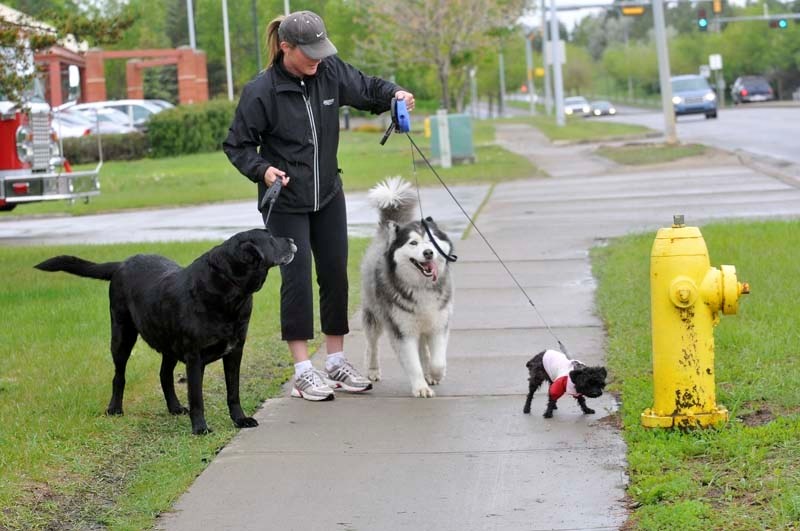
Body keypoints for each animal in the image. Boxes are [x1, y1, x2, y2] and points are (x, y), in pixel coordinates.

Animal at [362, 179, 456, 400]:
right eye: (413, 243)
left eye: (430, 240)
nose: (428, 253)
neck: (421, 286)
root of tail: (385, 232)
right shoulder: (402, 330)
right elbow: (413, 364)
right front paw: (420, 387)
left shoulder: (438, 323)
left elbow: (438, 361)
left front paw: (434, 374)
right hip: (375, 316)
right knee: (372, 344)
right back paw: (373, 370)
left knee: (423, 348)